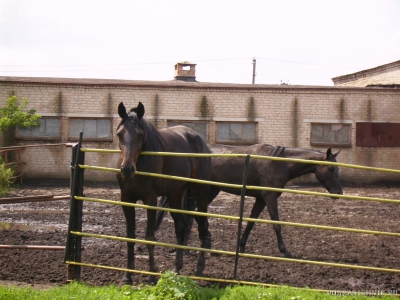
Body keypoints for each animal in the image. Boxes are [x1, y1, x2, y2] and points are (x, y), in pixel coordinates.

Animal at [116, 102, 212, 282]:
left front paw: (152, 275)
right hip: (175, 195)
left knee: (203, 229)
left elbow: (150, 238)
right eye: (119, 133)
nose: (127, 169)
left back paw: (200, 269)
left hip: (199, 195)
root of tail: (200, 140)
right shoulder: (127, 200)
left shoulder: (151, 200)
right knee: (181, 228)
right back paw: (176, 268)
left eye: (140, 134)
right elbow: (130, 237)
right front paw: (127, 276)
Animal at [158, 143, 342, 258]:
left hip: (211, 191)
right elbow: (276, 224)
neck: (278, 163)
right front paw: (285, 251)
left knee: (194, 215)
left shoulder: (261, 199)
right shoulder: (270, 198)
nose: (339, 192)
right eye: (331, 168)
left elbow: (251, 222)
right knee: (192, 215)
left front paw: (242, 246)